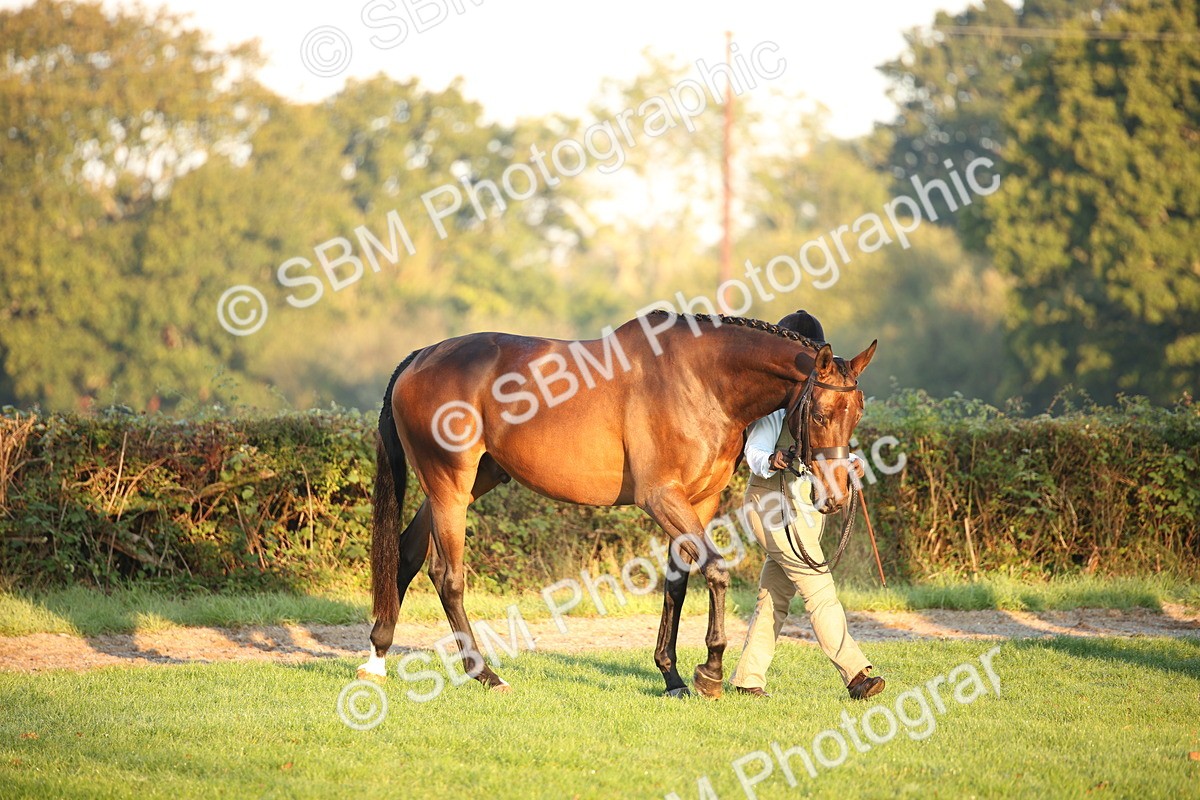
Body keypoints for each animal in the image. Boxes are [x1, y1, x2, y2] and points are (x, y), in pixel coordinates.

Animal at [358, 310, 877, 697]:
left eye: (857, 413)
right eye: (821, 413)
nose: (835, 496)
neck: (701, 380)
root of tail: (420, 358)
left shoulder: (699, 501)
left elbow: (677, 583)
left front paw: (672, 676)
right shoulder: (661, 496)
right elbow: (716, 570)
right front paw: (709, 672)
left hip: (464, 484)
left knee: (406, 554)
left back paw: (378, 657)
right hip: (450, 484)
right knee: (447, 577)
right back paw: (485, 674)